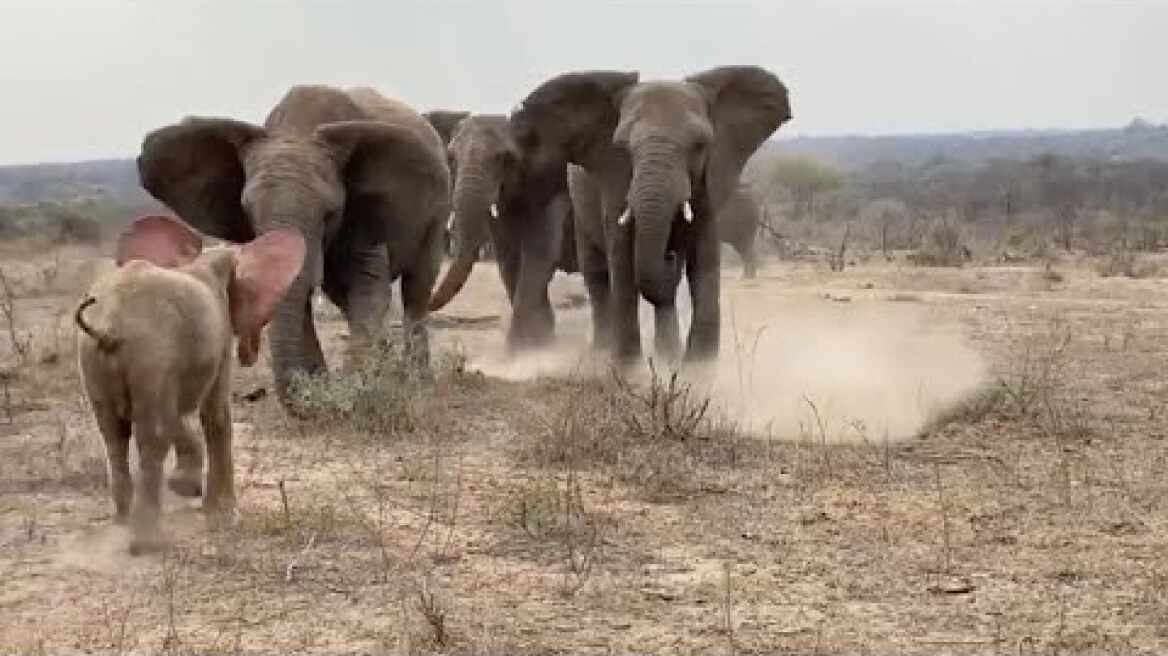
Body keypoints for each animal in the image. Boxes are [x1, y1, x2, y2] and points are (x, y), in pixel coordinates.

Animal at [137, 85, 452, 408]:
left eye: (330, 214)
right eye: (248, 212)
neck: (297, 129)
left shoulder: (363, 213)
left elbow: (368, 287)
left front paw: (357, 386)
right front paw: (323, 387)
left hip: (438, 215)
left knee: (417, 287)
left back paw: (416, 379)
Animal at [422, 110, 578, 352]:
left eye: (505, 158)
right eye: (451, 158)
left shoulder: (555, 186)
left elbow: (538, 256)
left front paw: (520, 353)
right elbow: (509, 260)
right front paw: (537, 345)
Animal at [510, 66, 791, 366]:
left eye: (700, 145)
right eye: (622, 147)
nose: (670, 255)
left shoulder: (711, 179)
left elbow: (703, 260)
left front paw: (699, 370)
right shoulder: (615, 179)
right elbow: (623, 257)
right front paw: (629, 370)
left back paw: (668, 357)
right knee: (598, 276)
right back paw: (603, 355)